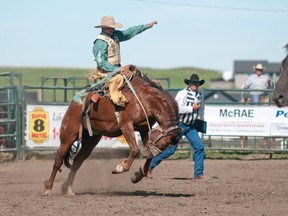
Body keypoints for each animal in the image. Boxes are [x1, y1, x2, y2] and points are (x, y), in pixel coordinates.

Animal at [43, 64, 181, 196]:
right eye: (163, 144)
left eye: (165, 147)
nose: (145, 154)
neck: (144, 98)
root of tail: (75, 102)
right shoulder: (126, 125)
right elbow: (135, 150)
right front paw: (120, 168)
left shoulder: (144, 128)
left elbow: (148, 152)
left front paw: (137, 175)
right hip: (68, 135)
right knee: (58, 160)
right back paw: (48, 189)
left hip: (90, 140)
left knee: (77, 162)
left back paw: (68, 188)